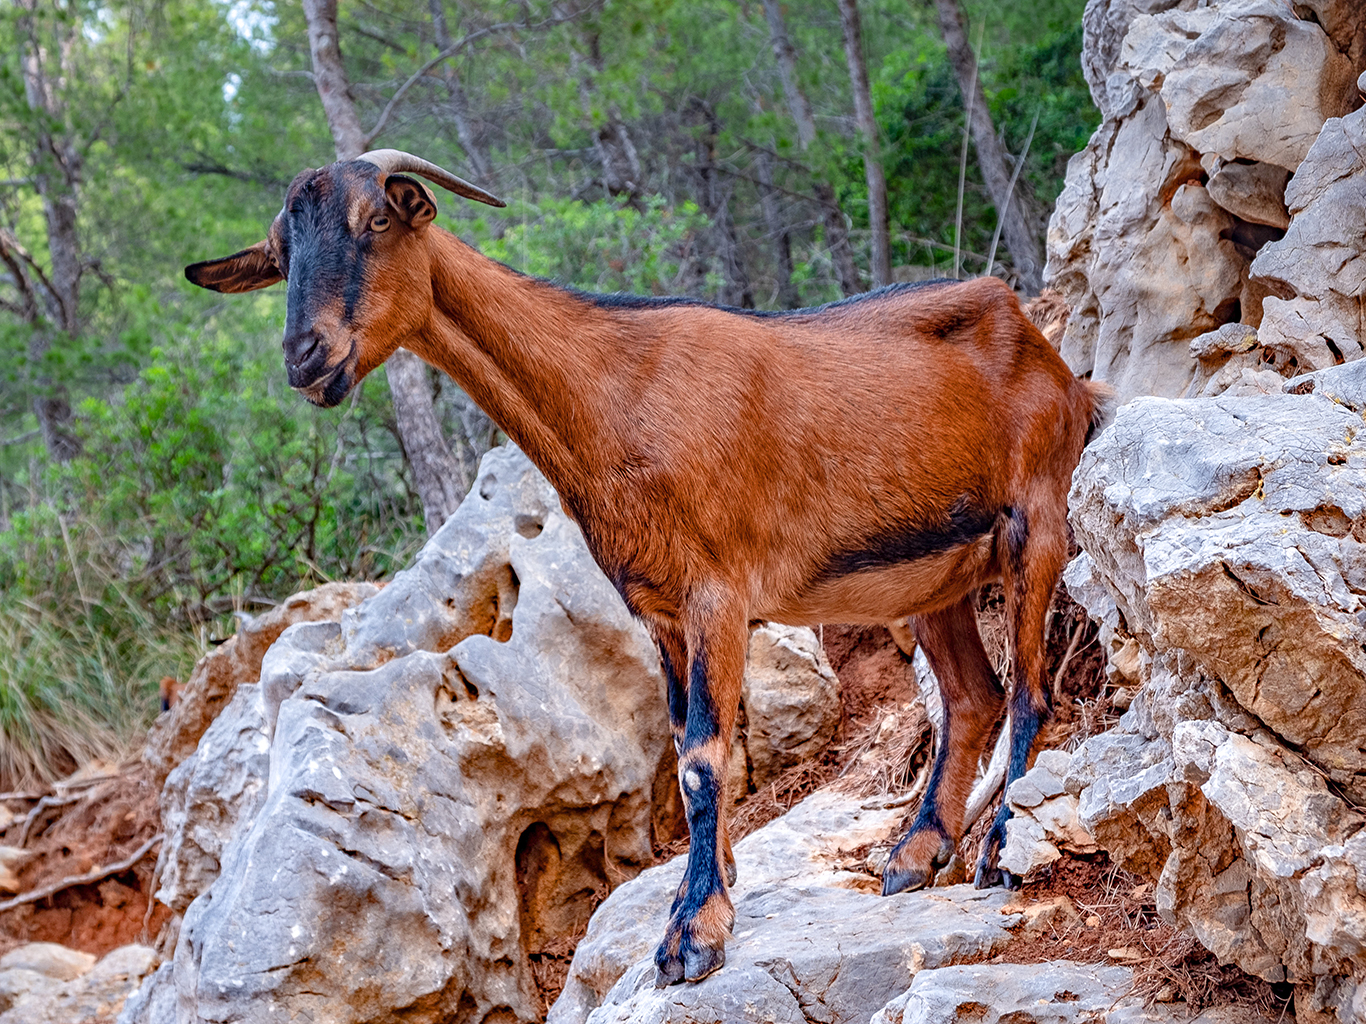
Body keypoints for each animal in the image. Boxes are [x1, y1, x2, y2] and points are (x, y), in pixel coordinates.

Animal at [187, 150, 1103, 988]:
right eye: (281, 250)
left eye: (377, 218)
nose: (307, 357)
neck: (611, 389)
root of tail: (1053, 360)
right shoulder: (657, 610)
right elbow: (685, 741)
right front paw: (715, 887)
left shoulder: (717, 595)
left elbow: (699, 757)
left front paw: (692, 933)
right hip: (931, 576)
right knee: (971, 696)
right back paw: (916, 854)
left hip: (1040, 517)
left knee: (1030, 690)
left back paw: (999, 849)